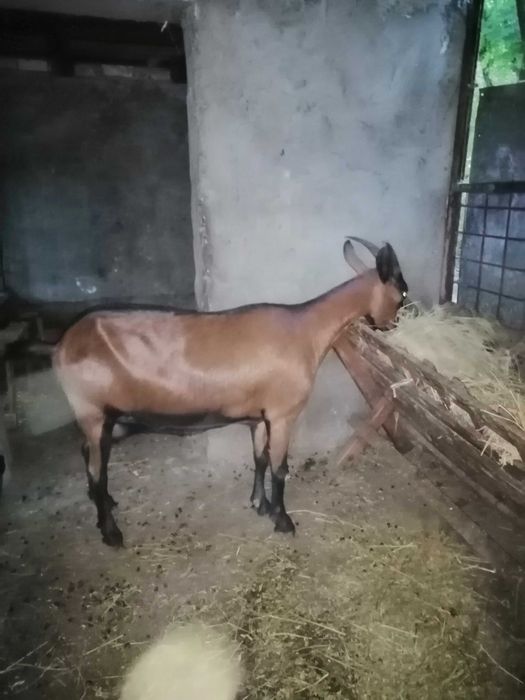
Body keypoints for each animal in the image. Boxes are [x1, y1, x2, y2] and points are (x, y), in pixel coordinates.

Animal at [53, 238, 407, 547]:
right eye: (402, 291)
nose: (392, 326)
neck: (305, 331)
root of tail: (64, 344)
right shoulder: (282, 414)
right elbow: (280, 468)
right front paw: (283, 521)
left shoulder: (260, 416)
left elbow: (259, 458)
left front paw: (259, 504)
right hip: (93, 411)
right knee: (96, 470)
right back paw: (111, 532)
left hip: (110, 417)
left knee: (90, 456)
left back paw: (106, 504)